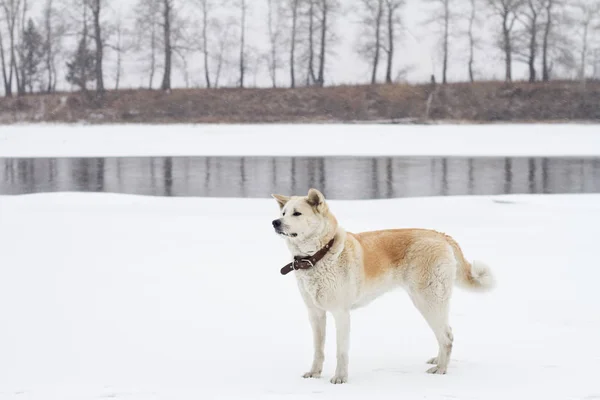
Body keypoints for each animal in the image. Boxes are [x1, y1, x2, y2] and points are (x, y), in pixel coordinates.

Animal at [274, 190, 496, 384]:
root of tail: (440, 235)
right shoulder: (315, 314)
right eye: (283, 213)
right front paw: (314, 373)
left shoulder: (341, 313)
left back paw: (441, 368)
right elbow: (318, 349)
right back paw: (438, 360)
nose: (274, 222)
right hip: (428, 302)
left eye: (297, 213)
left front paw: (340, 378)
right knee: (446, 333)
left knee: (447, 337)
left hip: (429, 301)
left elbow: (341, 351)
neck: (318, 255)